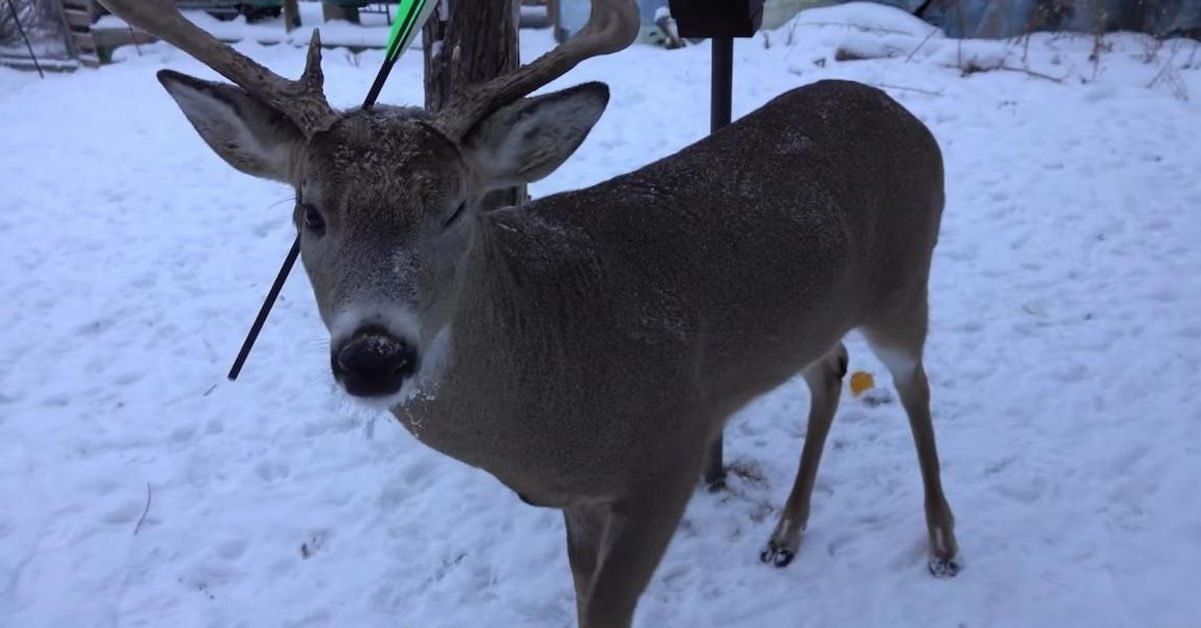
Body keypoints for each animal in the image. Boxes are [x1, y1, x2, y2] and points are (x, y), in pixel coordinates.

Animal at [96, 0, 955, 624]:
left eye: (455, 209)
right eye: (308, 213)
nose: (374, 355)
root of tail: (901, 112)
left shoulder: (672, 447)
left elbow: (607, 609)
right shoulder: (578, 498)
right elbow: (578, 598)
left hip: (905, 277)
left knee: (912, 383)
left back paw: (943, 543)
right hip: (815, 314)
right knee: (829, 371)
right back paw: (784, 534)